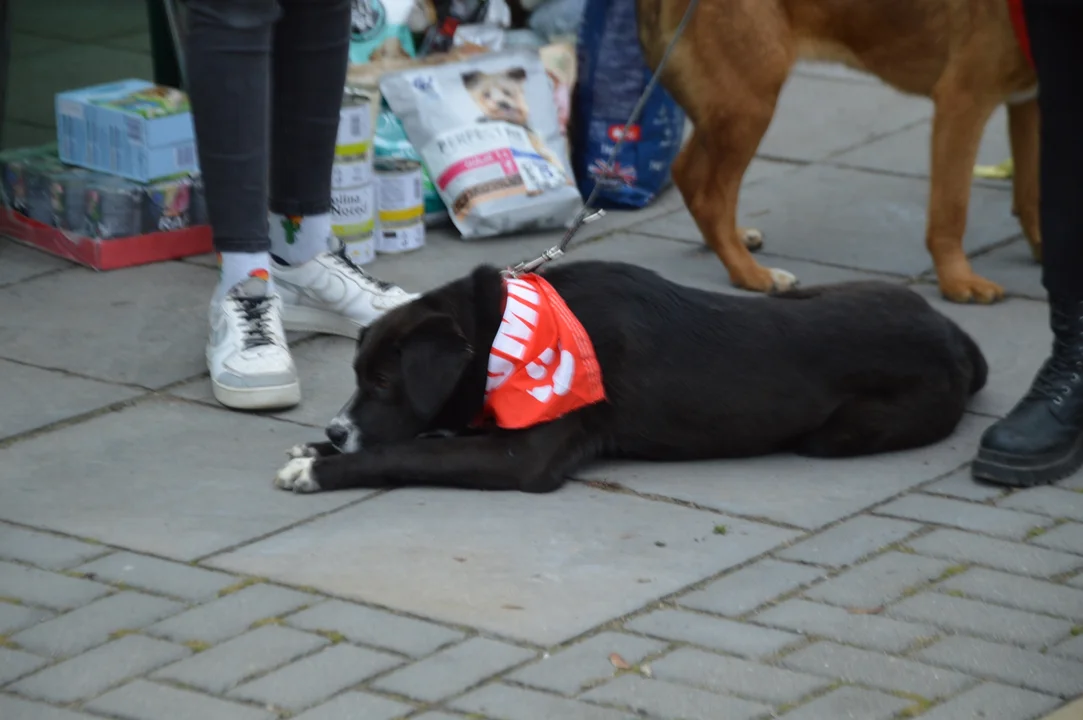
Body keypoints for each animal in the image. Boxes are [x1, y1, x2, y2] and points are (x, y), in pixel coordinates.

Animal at [272, 259, 992, 493]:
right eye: (358, 374)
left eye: (385, 384)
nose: (335, 432)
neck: (505, 333)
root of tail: (955, 335)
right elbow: (428, 439)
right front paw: (312, 448)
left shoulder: (524, 457)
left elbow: (411, 452)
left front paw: (322, 468)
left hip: (840, 432)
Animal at [636, 0, 1035, 300]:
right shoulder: (961, 102)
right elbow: (951, 209)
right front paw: (957, 282)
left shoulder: (1029, 104)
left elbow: (1032, 197)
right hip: (750, 100)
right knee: (709, 195)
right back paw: (751, 274)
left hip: (726, 106)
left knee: (689, 174)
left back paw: (736, 242)